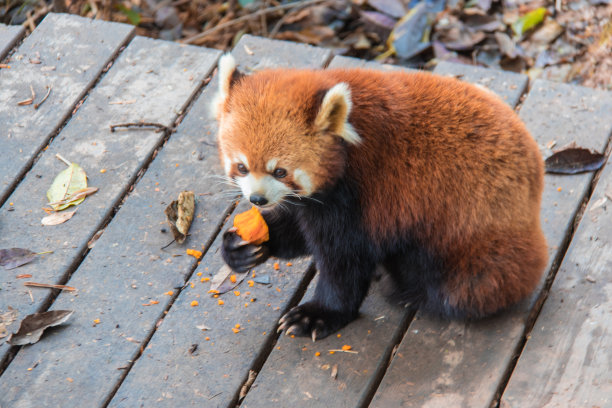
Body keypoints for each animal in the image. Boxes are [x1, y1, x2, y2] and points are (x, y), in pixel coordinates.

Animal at [213, 54, 548, 342]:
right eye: (241, 167)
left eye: (280, 171)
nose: (257, 199)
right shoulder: (316, 200)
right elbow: (298, 231)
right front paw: (242, 246)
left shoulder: (369, 195)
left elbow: (344, 261)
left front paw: (318, 314)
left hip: (476, 238)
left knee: (462, 285)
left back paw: (407, 288)